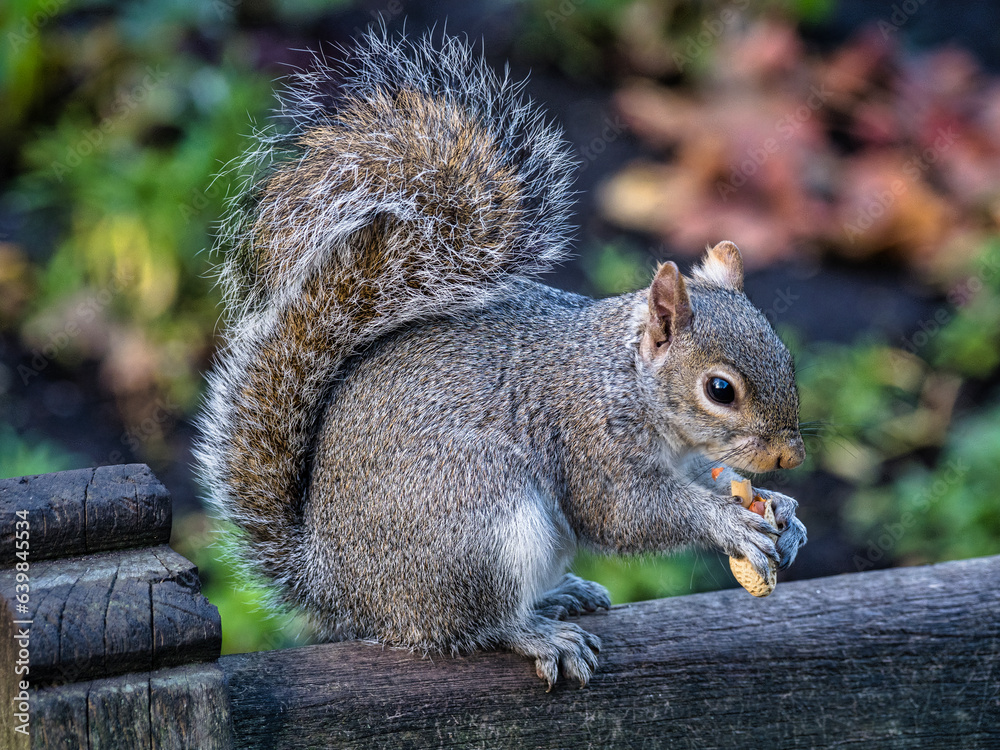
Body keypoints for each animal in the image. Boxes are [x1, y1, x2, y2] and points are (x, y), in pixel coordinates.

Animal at [196, 29, 807, 690]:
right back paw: (537, 632)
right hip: (479, 516)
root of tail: (342, 587)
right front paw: (730, 522)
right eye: (720, 389)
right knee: (474, 626)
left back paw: (560, 596)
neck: (628, 378)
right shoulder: (591, 438)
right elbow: (623, 512)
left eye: (787, 358)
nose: (790, 456)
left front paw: (782, 510)